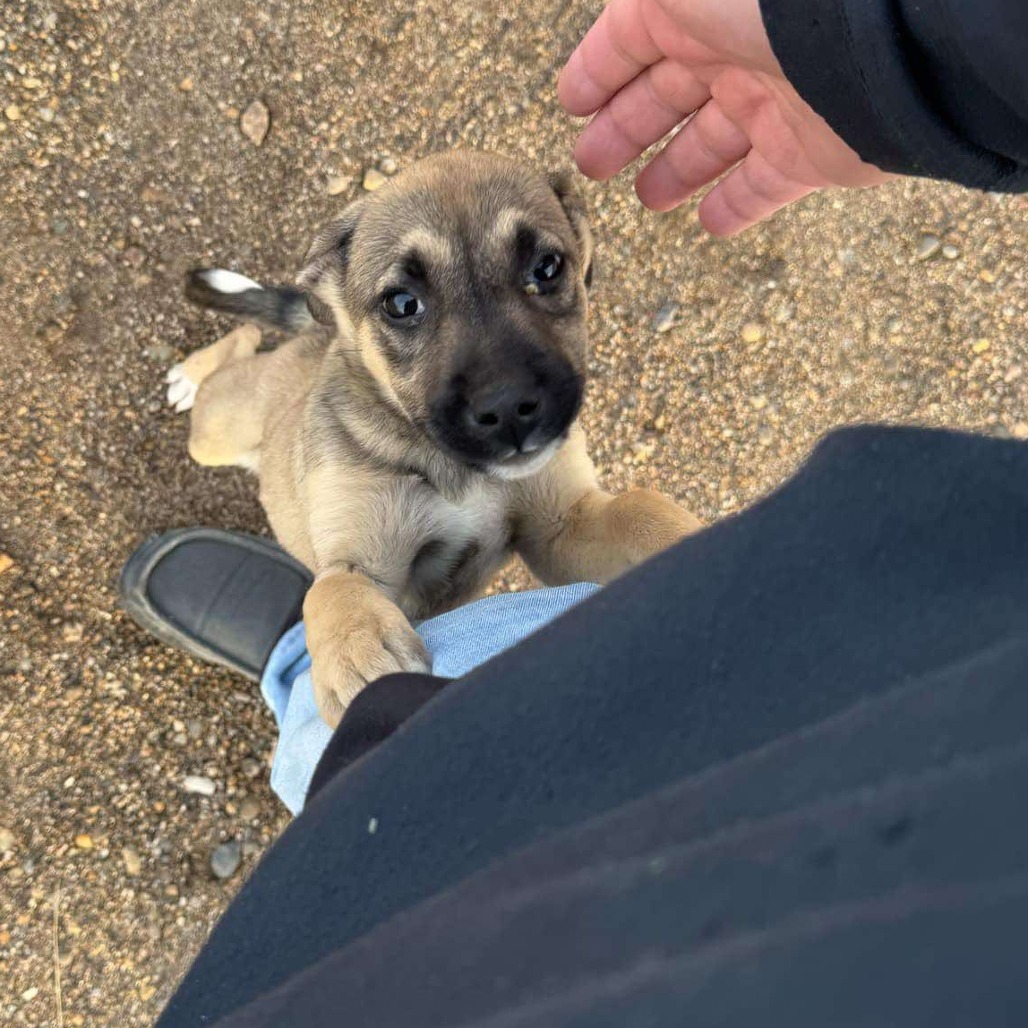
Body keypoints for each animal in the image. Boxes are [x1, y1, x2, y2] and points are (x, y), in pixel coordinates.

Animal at [168, 152, 703, 723]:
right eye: (402, 303)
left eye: (547, 268)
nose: (508, 408)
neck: (456, 470)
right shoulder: (367, 563)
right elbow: (331, 591)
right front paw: (361, 661)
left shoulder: (560, 526)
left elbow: (642, 508)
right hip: (215, 433)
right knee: (237, 350)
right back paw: (189, 376)